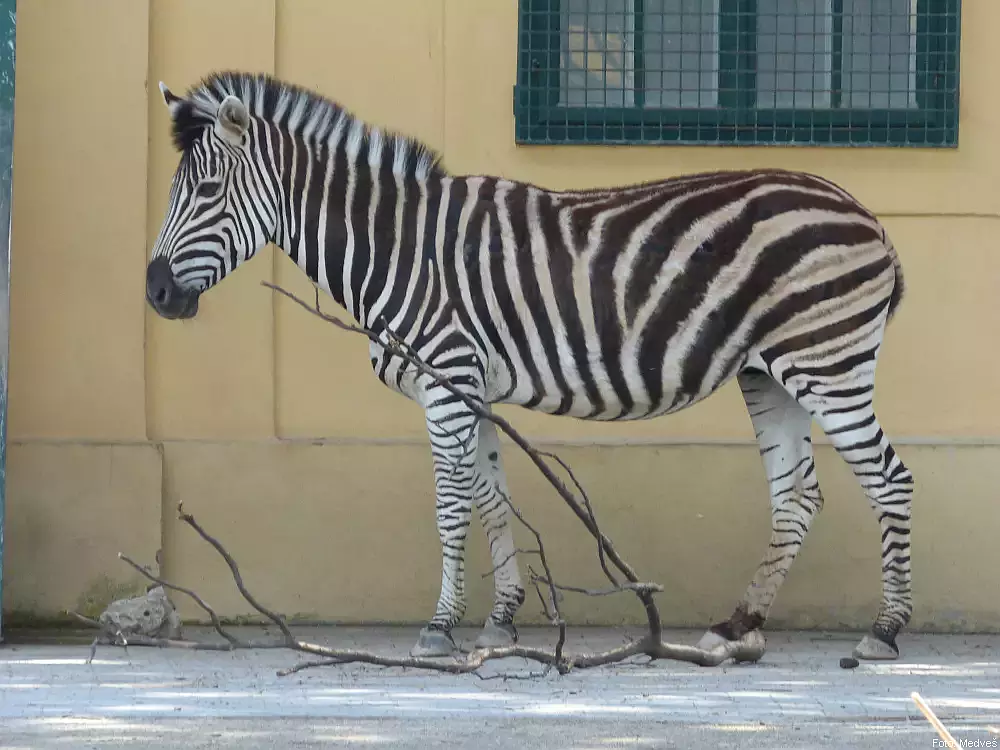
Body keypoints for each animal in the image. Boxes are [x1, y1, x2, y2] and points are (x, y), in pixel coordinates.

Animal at [146, 73, 916, 668]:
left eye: (206, 192)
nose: (155, 293)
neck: (397, 248)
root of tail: (868, 215)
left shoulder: (447, 379)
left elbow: (450, 504)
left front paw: (439, 628)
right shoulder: (470, 386)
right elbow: (491, 499)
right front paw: (500, 620)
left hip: (827, 359)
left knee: (889, 478)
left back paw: (884, 632)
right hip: (770, 373)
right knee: (797, 494)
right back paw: (739, 626)